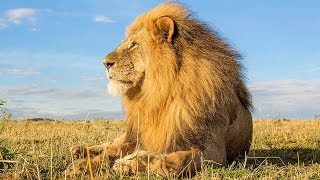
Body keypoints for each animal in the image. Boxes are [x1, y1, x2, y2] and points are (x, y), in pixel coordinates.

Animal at [67, 2, 252, 177]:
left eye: (134, 45)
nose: (105, 63)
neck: (159, 94)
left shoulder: (215, 153)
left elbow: (176, 161)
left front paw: (127, 163)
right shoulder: (141, 137)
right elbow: (112, 152)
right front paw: (83, 165)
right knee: (110, 144)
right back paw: (79, 150)